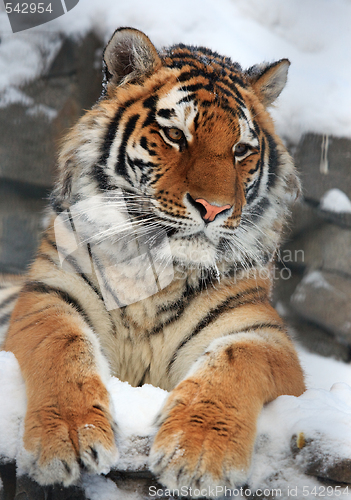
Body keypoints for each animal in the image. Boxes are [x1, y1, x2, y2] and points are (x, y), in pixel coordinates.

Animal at [1, 28, 306, 496]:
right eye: (176, 135)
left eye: (240, 150)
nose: (214, 209)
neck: (157, 265)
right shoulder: (48, 296)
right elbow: (62, 345)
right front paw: (69, 437)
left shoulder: (263, 333)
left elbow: (236, 359)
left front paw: (197, 456)